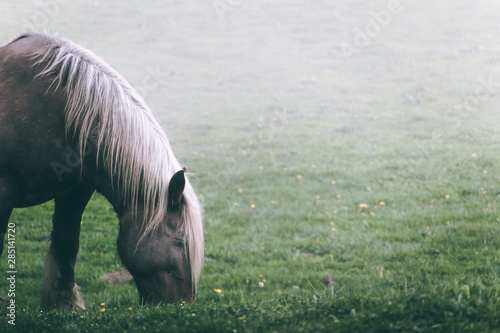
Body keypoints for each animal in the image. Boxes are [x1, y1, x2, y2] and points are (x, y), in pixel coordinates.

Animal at [0, 32, 204, 308]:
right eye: (180, 241)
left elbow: (67, 240)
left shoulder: (76, 190)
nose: (185, 305)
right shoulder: (4, 189)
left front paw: (65, 304)